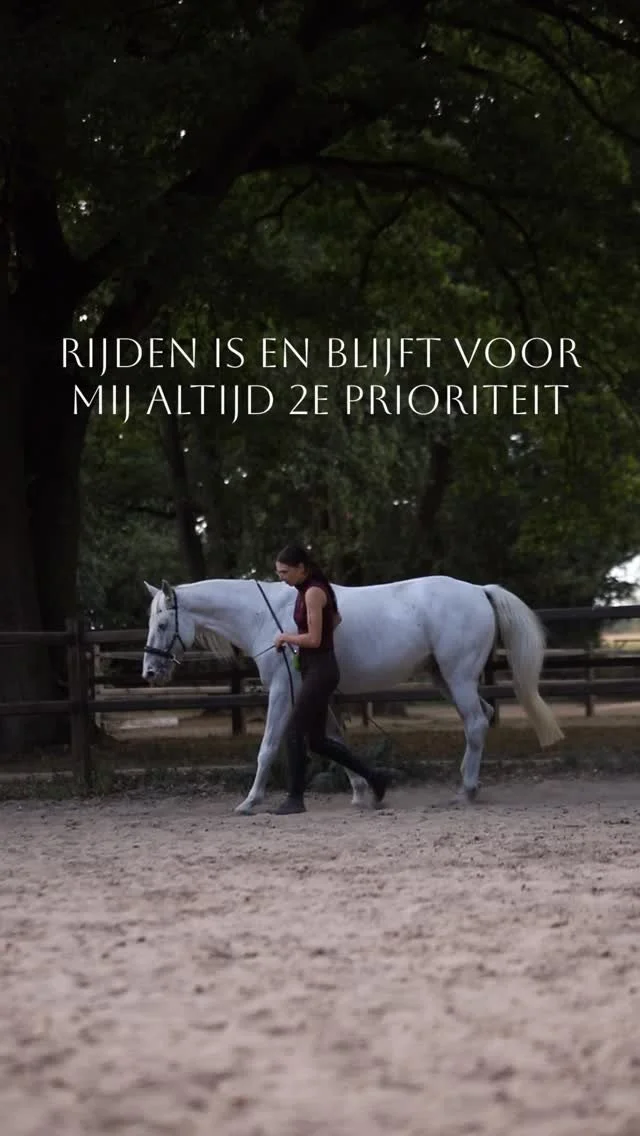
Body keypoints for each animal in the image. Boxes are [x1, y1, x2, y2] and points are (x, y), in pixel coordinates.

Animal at [141, 574, 564, 814]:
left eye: (162, 624)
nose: (149, 672)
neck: (265, 616)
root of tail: (479, 591)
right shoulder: (317, 695)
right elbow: (334, 742)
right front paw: (363, 792)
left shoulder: (282, 692)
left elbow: (270, 746)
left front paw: (250, 801)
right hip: (445, 678)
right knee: (483, 716)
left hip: (458, 676)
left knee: (475, 723)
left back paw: (466, 791)